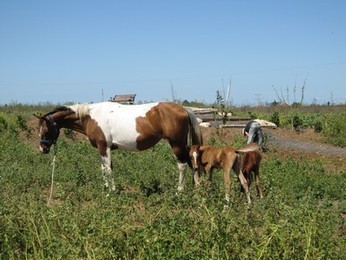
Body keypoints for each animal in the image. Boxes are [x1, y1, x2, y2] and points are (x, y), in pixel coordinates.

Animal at [34, 101, 203, 193]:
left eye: (46, 130)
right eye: (39, 130)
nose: (43, 149)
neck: (91, 117)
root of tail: (183, 109)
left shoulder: (104, 147)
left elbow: (108, 169)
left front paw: (112, 191)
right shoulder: (101, 148)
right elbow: (103, 168)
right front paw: (105, 188)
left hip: (176, 144)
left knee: (182, 165)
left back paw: (179, 191)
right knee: (192, 164)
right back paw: (196, 188)